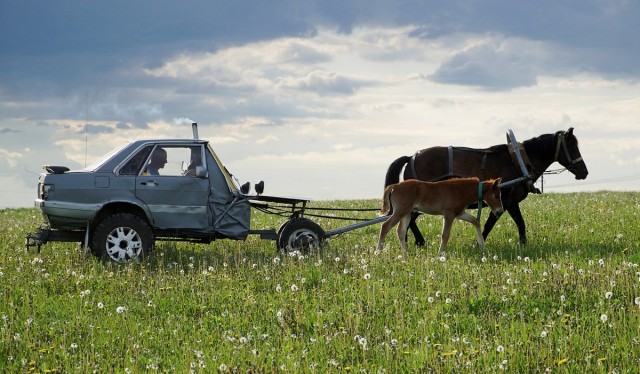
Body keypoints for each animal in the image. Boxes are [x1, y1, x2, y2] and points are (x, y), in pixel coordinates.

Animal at [384, 129, 592, 245]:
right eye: (572, 146)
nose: (584, 172)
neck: (517, 161)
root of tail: (411, 157)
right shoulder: (503, 202)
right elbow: (490, 224)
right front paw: (479, 243)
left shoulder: (511, 203)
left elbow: (521, 223)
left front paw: (523, 244)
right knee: (409, 219)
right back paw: (418, 241)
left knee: (409, 219)